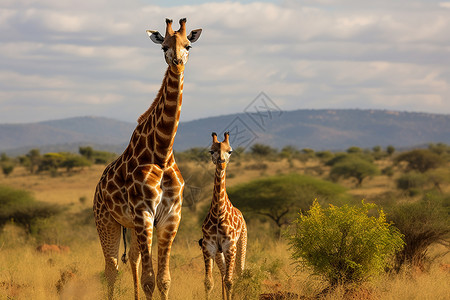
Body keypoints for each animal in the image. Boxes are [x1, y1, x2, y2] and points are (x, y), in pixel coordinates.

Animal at [93, 17, 202, 298]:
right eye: (163, 47)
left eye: (188, 45)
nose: (177, 62)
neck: (162, 153)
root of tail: (98, 186)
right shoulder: (144, 214)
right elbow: (150, 280)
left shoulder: (170, 217)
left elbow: (163, 280)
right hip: (106, 221)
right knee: (111, 269)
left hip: (130, 226)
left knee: (132, 259)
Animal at [202, 132, 248, 300]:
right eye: (211, 151)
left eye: (230, 151)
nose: (221, 163)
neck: (217, 213)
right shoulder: (208, 246)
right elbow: (209, 282)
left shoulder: (230, 246)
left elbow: (230, 281)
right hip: (219, 252)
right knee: (223, 275)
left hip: (240, 244)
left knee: (238, 273)